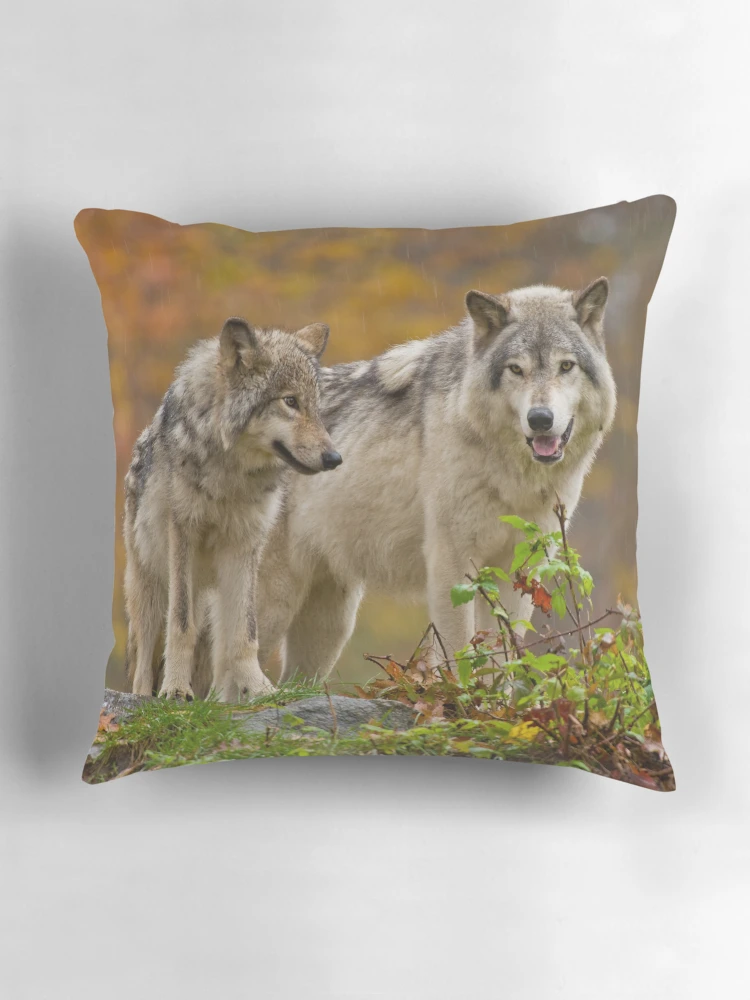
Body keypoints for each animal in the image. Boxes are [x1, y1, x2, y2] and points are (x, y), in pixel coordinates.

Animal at [123, 316, 341, 702]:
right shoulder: (183, 532)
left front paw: (259, 688)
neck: (231, 475)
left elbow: (245, 633)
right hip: (149, 585)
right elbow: (181, 625)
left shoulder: (246, 543)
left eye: (316, 407)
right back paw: (146, 695)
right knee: (145, 657)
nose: (334, 458)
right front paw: (176, 689)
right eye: (290, 401)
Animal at [256, 278, 617, 682]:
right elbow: (461, 654)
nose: (540, 419)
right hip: (273, 605)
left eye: (565, 365)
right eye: (516, 369)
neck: (513, 477)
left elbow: (502, 657)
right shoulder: (451, 564)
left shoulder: (520, 570)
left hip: (329, 627)